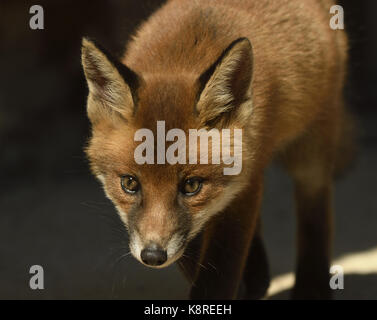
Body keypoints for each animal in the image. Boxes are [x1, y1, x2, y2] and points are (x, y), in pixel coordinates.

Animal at [80, 0, 352, 300]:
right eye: (129, 183)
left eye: (191, 186)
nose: (152, 256)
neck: (181, 56)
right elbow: (192, 253)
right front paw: (248, 282)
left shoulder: (244, 184)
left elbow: (220, 270)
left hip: (311, 148)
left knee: (315, 209)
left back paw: (310, 287)